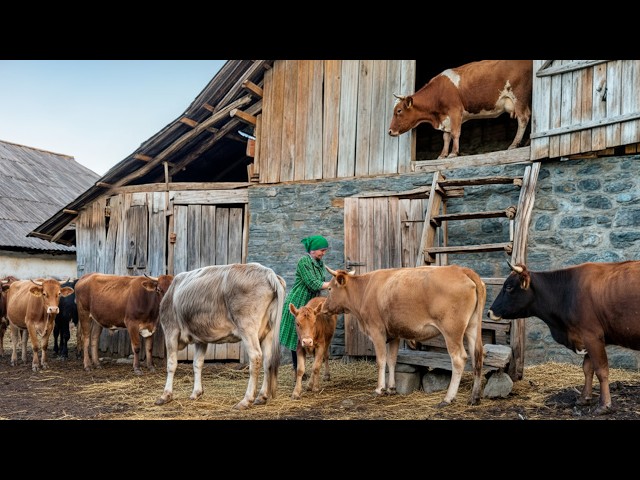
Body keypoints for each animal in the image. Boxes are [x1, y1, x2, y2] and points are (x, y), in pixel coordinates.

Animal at [155, 263, 286, 410]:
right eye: (158, 289)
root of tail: (267, 272)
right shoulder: (201, 338)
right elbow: (197, 363)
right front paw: (196, 392)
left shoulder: (170, 330)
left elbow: (171, 364)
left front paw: (165, 395)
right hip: (268, 331)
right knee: (267, 360)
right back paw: (262, 396)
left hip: (248, 327)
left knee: (255, 357)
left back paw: (246, 400)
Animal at [323, 265, 486, 406]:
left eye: (330, 288)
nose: (324, 309)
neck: (364, 290)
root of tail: (461, 269)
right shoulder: (394, 334)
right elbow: (392, 360)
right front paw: (391, 388)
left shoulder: (377, 331)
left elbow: (381, 360)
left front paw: (379, 389)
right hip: (472, 327)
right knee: (477, 357)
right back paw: (474, 398)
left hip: (451, 331)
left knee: (459, 359)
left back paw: (448, 398)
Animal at [388, 59, 533, 159]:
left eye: (399, 111)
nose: (389, 131)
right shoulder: (445, 117)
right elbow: (446, 137)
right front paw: (442, 155)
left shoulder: (455, 111)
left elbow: (455, 133)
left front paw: (453, 153)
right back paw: (526, 142)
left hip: (519, 95)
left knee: (523, 118)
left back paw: (514, 144)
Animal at [488, 260, 640, 415]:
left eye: (509, 287)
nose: (489, 312)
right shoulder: (586, 338)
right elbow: (587, 369)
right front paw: (584, 398)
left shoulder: (592, 336)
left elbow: (601, 370)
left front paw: (604, 405)